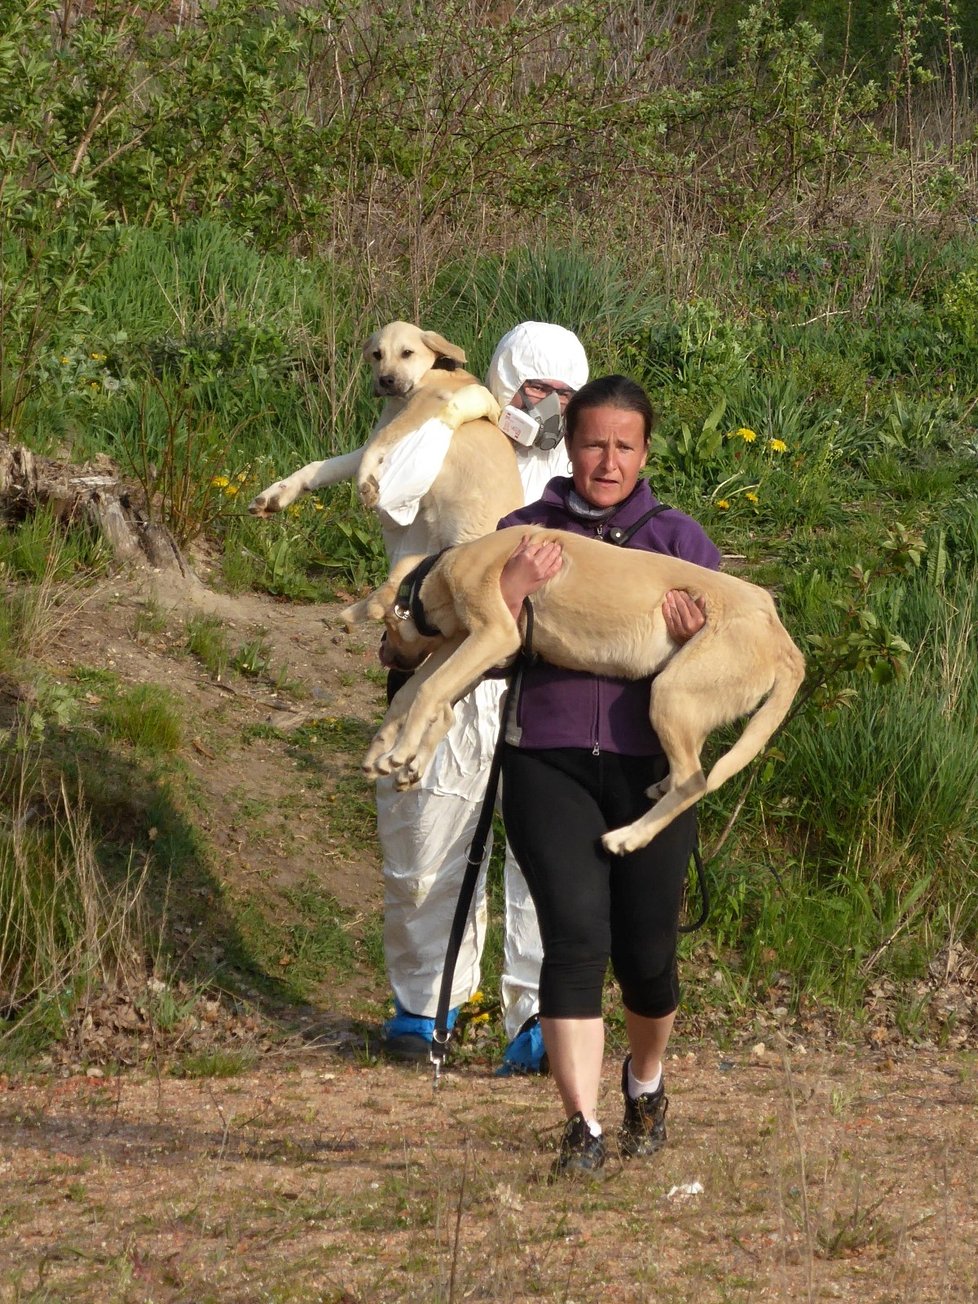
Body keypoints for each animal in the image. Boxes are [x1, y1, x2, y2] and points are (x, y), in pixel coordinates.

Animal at [252, 323, 529, 552]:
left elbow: (378, 442)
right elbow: (320, 467)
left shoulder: (427, 404)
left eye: (407, 353)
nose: (385, 380)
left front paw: (365, 482)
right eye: (377, 354)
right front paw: (277, 494)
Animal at [341, 524, 803, 860]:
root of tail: (784, 638)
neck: (441, 573)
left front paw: (401, 754)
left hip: (669, 693)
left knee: (695, 782)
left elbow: (428, 692)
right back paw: (660, 789)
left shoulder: (495, 634)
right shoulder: (474, 645)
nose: (382, 653)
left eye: (385, 629)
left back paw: (628, 837)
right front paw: (393, 758)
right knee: (690, 771)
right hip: (687, 700)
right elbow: (423, 697)